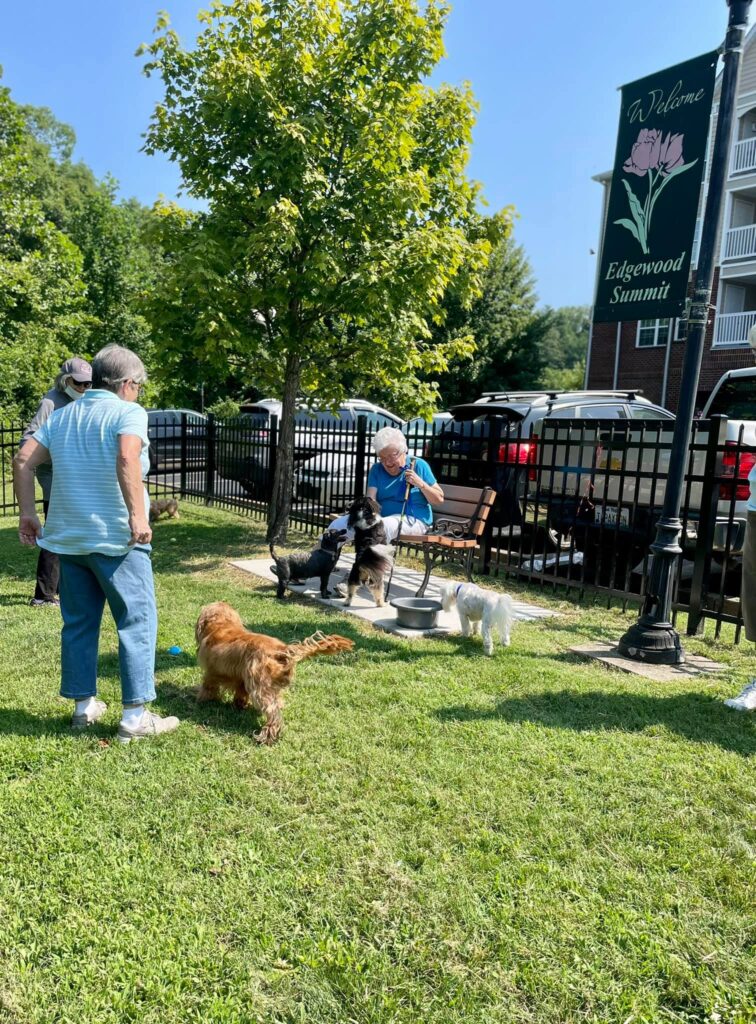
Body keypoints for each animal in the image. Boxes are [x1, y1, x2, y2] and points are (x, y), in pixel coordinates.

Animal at [191, 598, 350, 745]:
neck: (221, 625)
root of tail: (283, 650)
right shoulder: (242, 678)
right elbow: (240, 693)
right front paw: (239, 705)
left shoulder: (211, 673)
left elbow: (208, 687)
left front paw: (202, 700)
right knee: (278, 702)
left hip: (260, 688)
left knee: (273, 713)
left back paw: (267, 736)